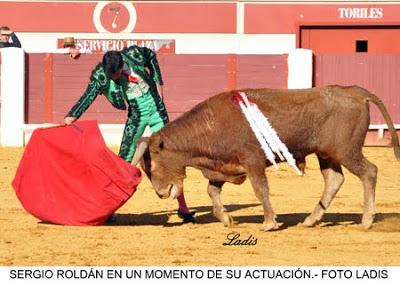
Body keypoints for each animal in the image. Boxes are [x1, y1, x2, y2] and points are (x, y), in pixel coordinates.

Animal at [134, 85, 400, 230]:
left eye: (152, 164)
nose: (160, 193)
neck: (209, 125)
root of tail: (356, 91)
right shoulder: (222, 166)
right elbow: (212, 191)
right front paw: (226, 219)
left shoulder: (252, 161)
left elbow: (260, 189)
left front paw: (269, 222)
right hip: (327, 154)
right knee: (334, 180)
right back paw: (311, 220)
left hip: (346, 150)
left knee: (369, 172)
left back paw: (366, 220)